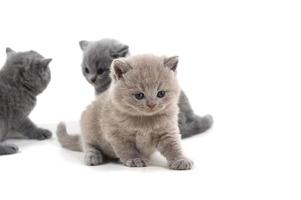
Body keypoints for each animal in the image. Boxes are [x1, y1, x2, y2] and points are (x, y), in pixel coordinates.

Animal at [56, 54, 192, 170]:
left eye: (161, 93)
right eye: (139, 95)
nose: (152, 105)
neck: (145, 120)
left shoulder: (167, 131)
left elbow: (173, 146)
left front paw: (180, 160)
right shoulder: (116, 134)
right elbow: (127, 149)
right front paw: (135, 159)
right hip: (88, 128)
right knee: (87, 145)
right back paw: (93, 157)